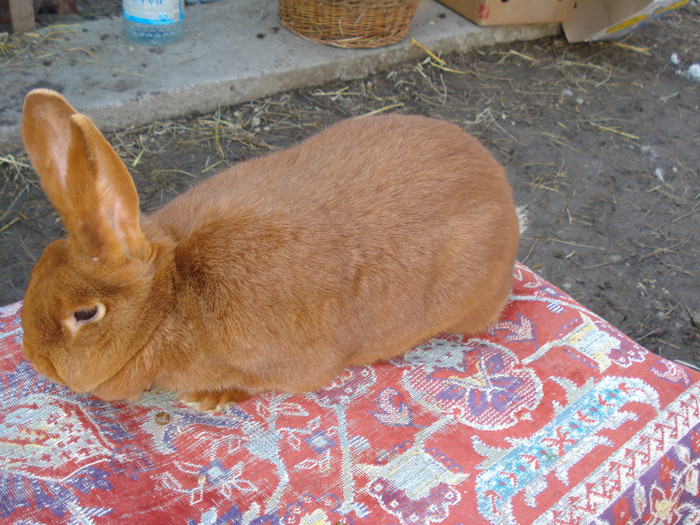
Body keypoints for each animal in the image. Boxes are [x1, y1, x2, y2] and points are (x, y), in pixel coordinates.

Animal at [20, 89, 520, 410]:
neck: (172, 297)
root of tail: (505, 194)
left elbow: (257, 385)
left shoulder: (286, 366)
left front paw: (207, 399)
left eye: (85, 314)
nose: (36, 360)